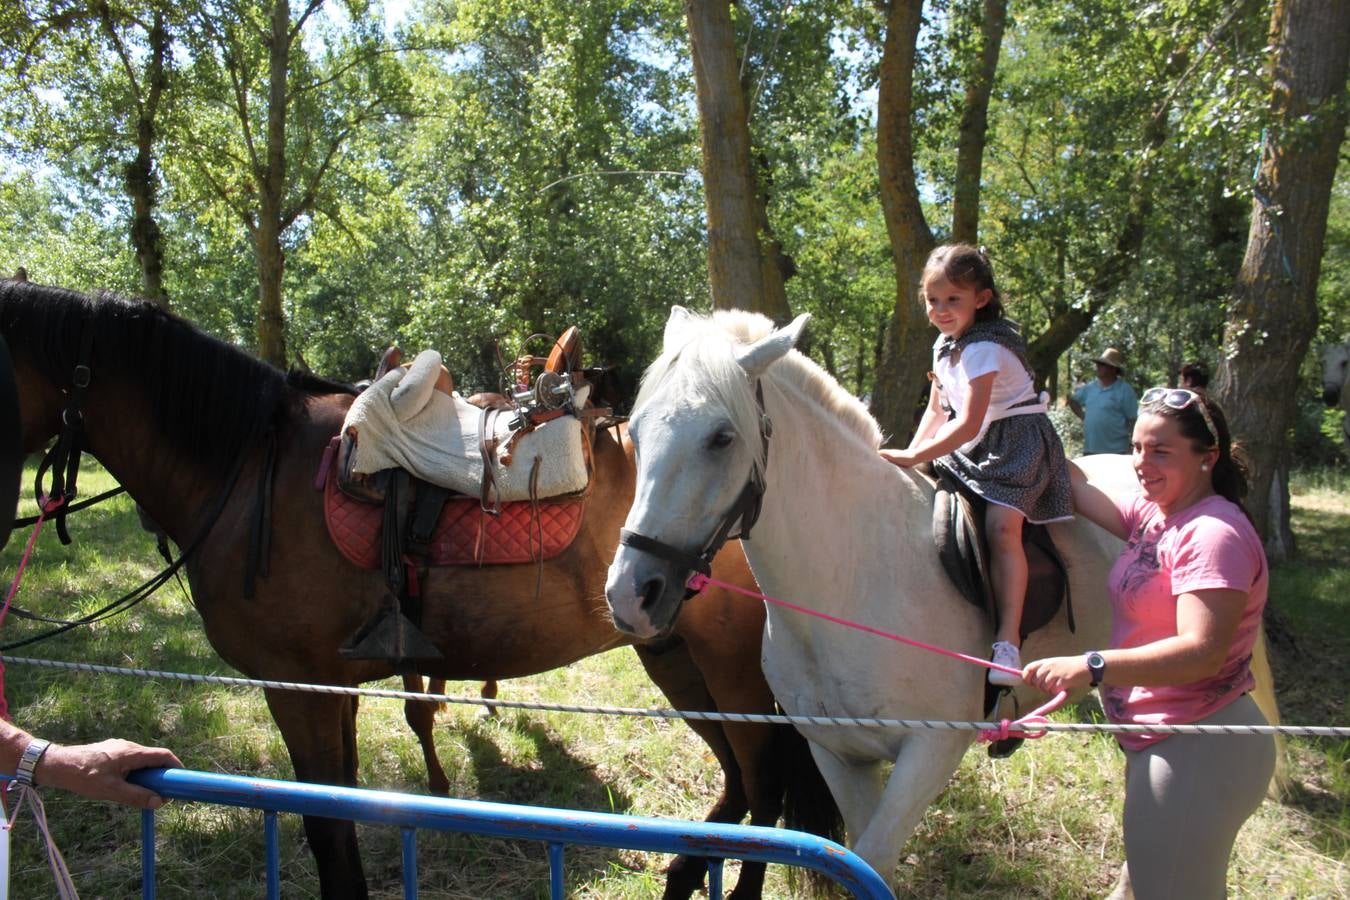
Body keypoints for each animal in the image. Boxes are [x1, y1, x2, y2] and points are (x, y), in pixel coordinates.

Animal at [0, 283, 837, 900]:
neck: (245, 470)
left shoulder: (296, 688)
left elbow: (328, 829)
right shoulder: (329, 688)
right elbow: (338, 806)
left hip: (730, 668)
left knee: (765, 787)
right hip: (674, 657)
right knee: (739, 783)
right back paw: (683, 871)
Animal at [607, 310, 1279, 885]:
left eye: (721, 438)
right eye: (634, 432)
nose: (632, 593)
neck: (854, 578)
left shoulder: (931, 750)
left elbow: (874, 859)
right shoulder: (838, 753)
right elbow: (860, 854)